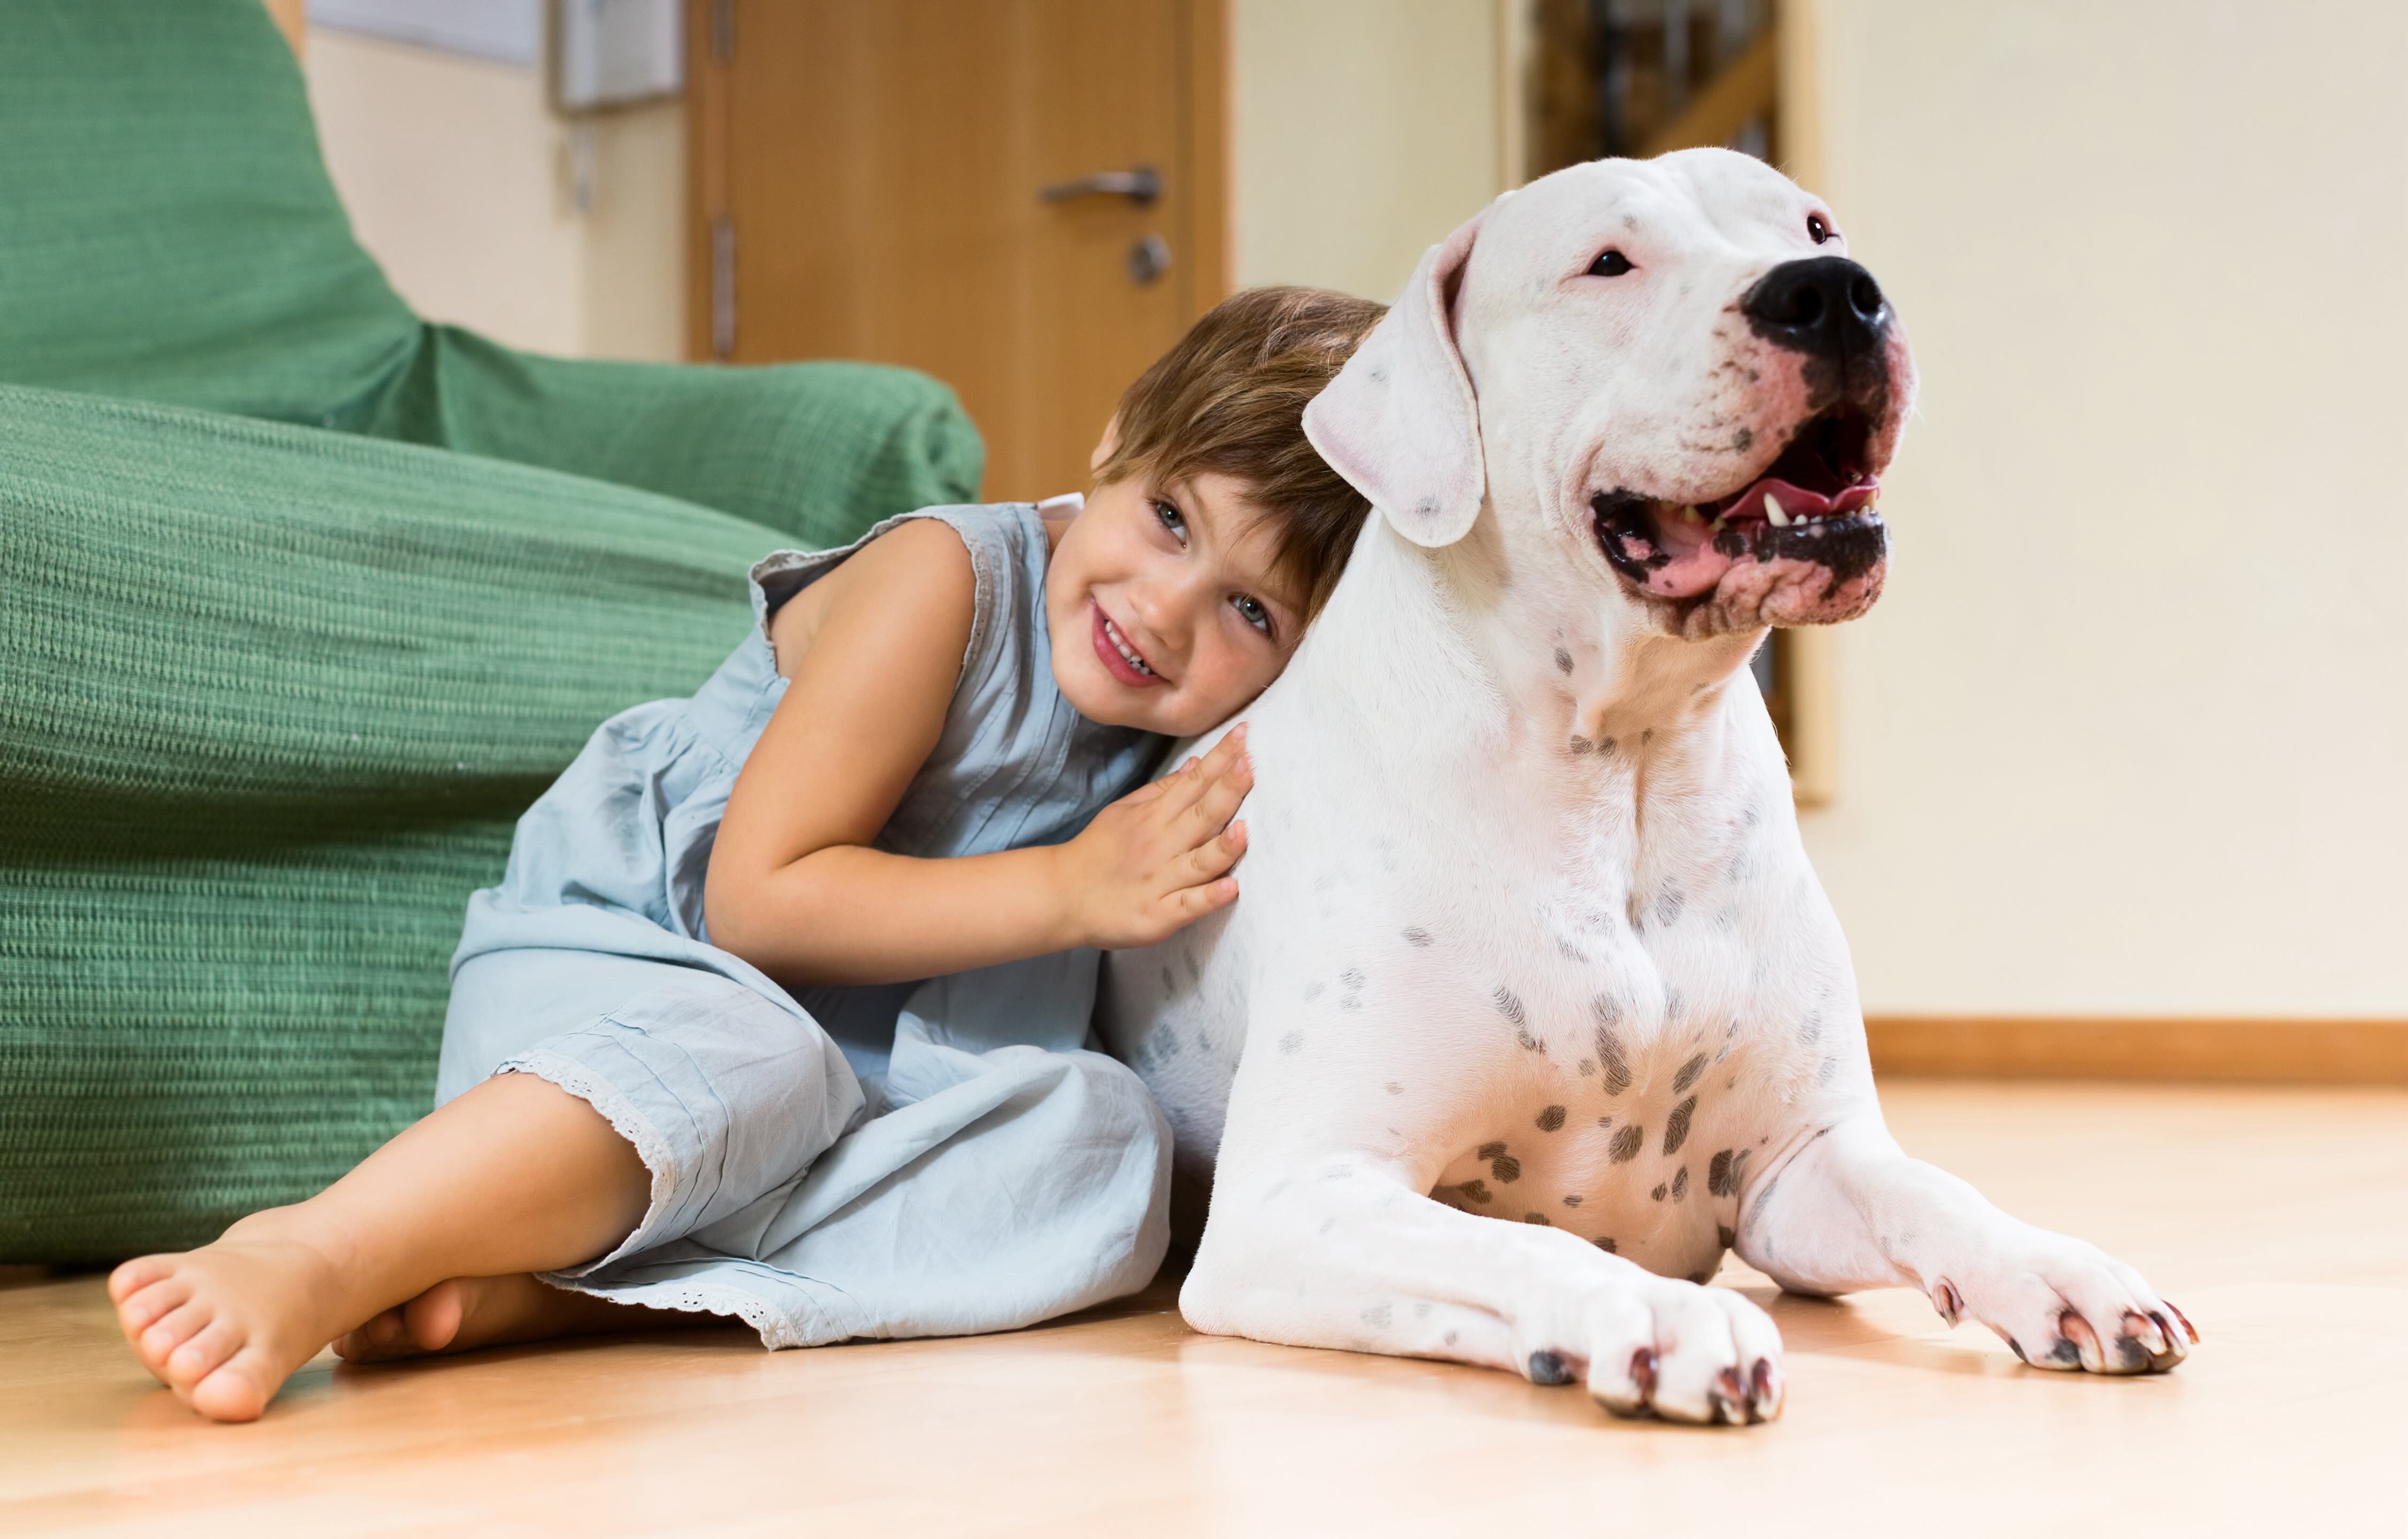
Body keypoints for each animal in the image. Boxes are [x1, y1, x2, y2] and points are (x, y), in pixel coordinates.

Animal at [1103, 150, 2196, 1426]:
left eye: (1816, 226)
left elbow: (1931, 1190)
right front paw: (1661, 1315)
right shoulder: (1297, 1196)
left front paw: (2058, 1268)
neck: (1624, 764)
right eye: (1609, 263)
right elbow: (1520, 1240)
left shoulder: (1796, 1168)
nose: (1836, 293)